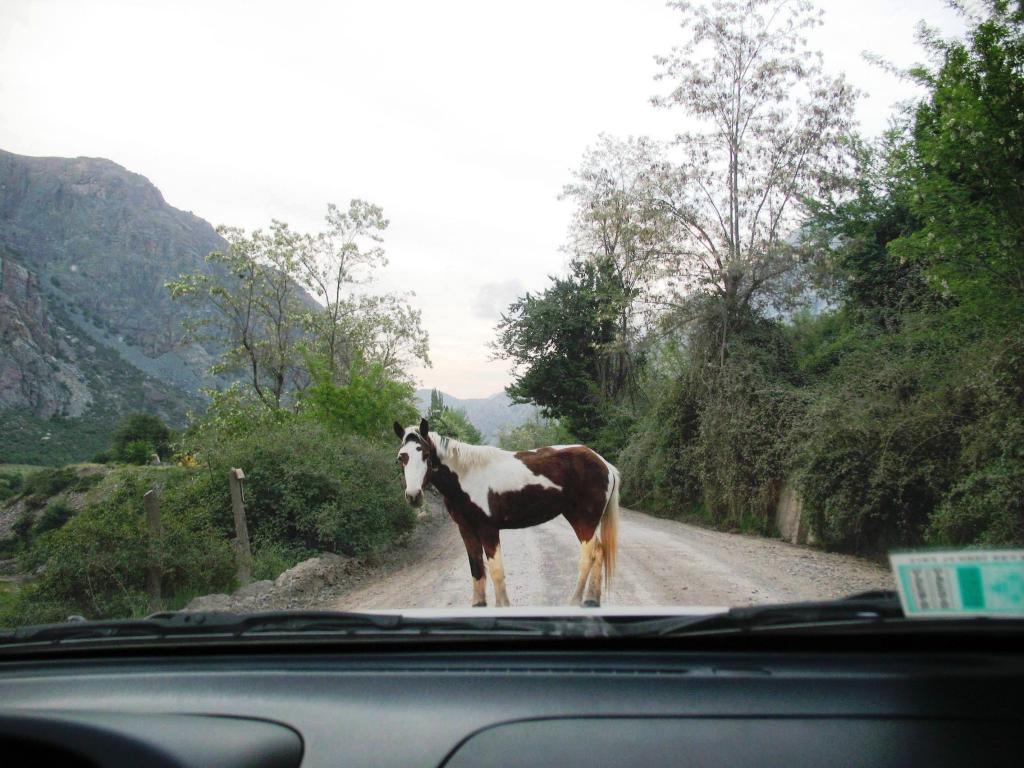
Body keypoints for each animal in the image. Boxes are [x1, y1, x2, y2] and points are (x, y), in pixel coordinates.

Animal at [391, 417, 614, 610]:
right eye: (402, 457)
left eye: (425, 454)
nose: (413, 496)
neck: (467, 476)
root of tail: (605, 464)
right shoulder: (466, 530)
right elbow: (477, 569)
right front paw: (478, 605)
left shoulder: (488, 530)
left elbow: (496, 571)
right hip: (580, 519)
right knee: (599, 552)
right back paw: (591, 601)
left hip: (583, 520)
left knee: (588, 556)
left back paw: (575, 601)